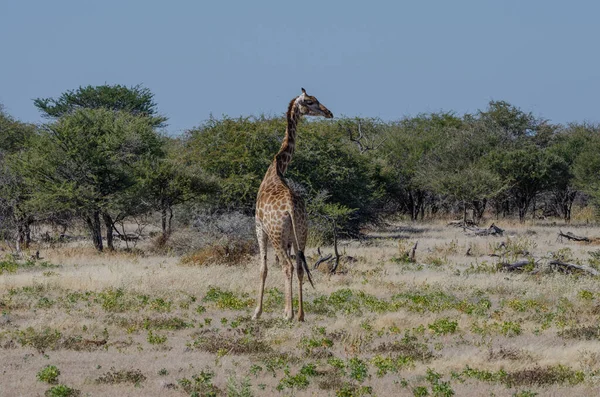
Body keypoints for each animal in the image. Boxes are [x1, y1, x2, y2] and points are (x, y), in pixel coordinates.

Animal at [252, 87, 332, 322]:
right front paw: (291, 310)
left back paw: (288, 314)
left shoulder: (259, 227)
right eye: (310, 101)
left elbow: (263, 268)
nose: (329, 112)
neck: (276, 168)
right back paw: (300, 315)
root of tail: (289, 207)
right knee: (298, 266)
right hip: (301, 233)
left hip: (276, 234)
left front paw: (257, 312)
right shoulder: (289, 237)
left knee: (287, 266)